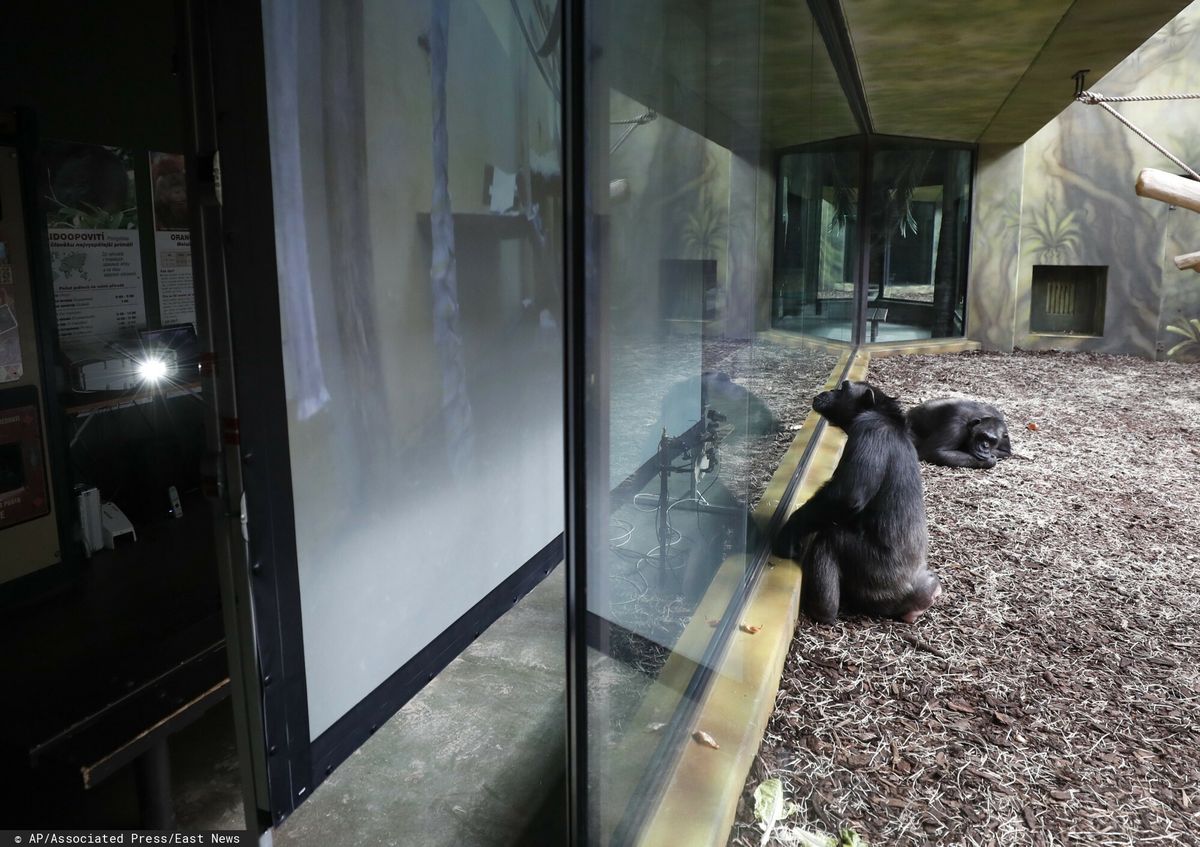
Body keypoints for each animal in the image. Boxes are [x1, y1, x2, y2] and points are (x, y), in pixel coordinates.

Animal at [772, 379, 940, 623]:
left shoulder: (868, 430)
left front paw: (788, 533)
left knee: (828, 540)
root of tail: (913, 596)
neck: (881, 413)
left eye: (843, 388)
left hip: (875, 576)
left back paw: (821, 610)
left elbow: (846, 496)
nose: (828, 391)